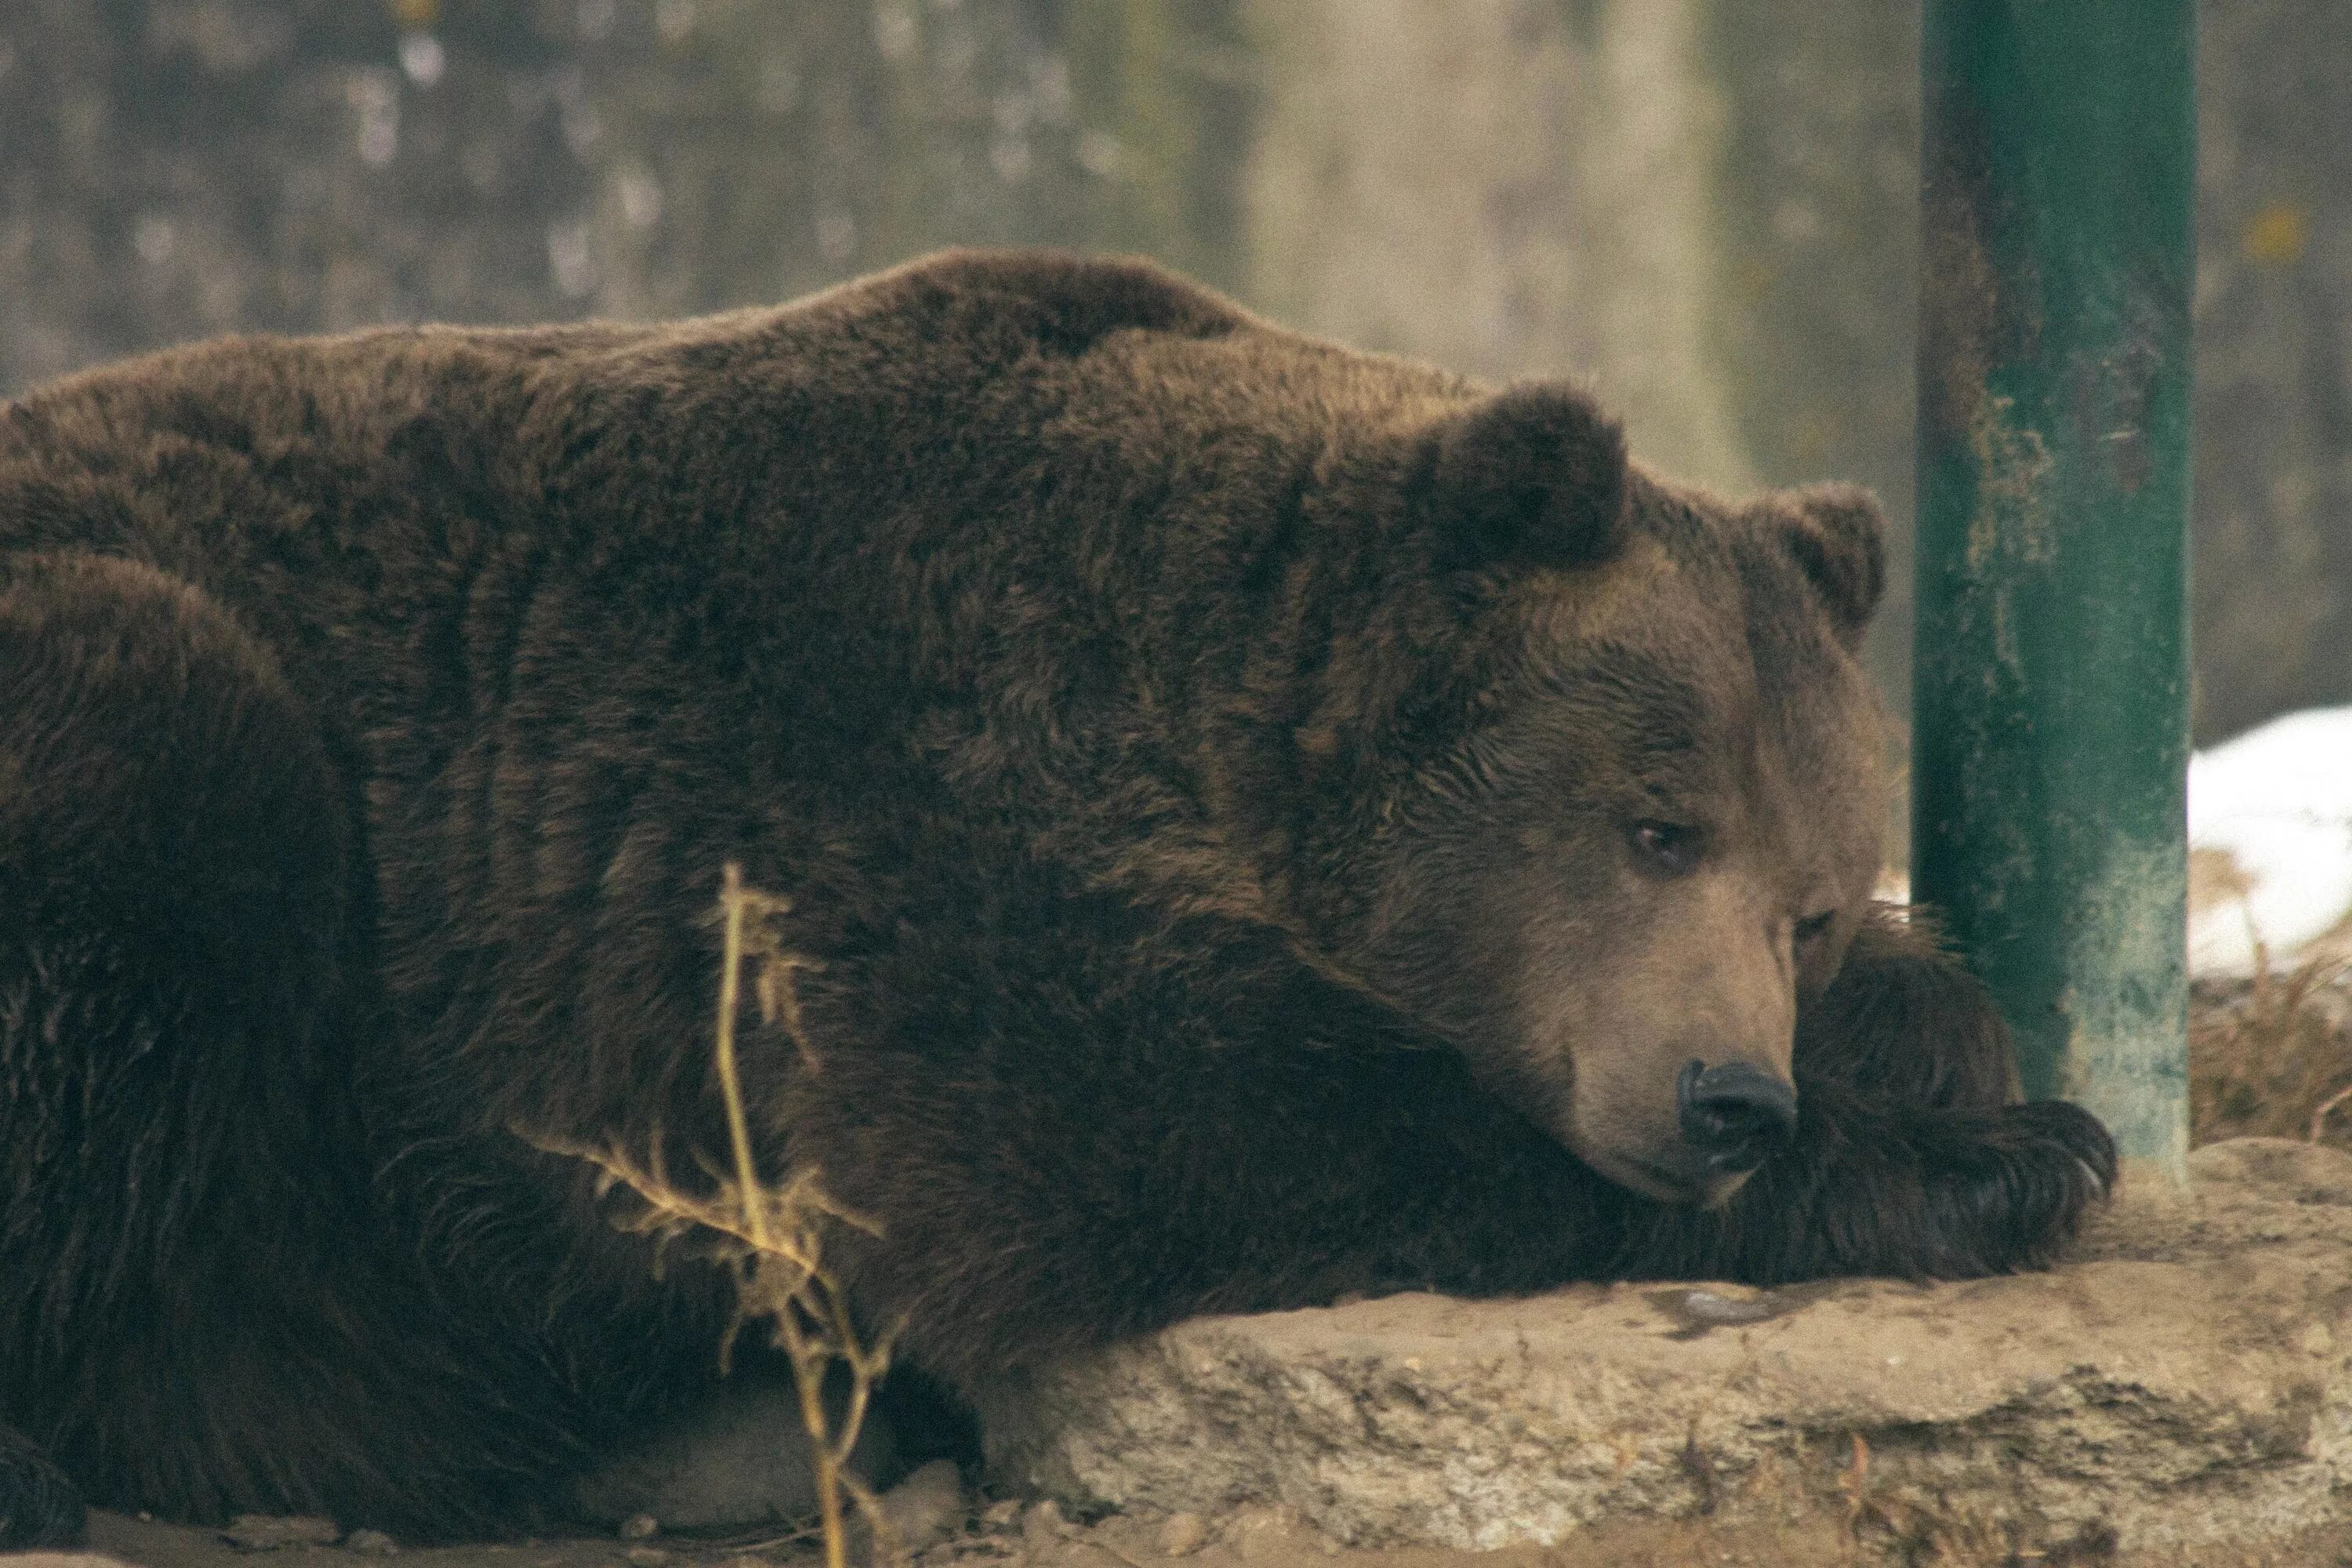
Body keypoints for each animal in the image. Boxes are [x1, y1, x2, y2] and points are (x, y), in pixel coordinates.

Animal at [0, 245, 2117, 1542]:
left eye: (1808, 901)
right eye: (1655, 823)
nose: (1725, 1095)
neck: (1199, 684)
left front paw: (1953, 1044)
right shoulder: (845, 779)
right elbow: (1126, 1116)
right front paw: (2004, 1154)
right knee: (177, 795)